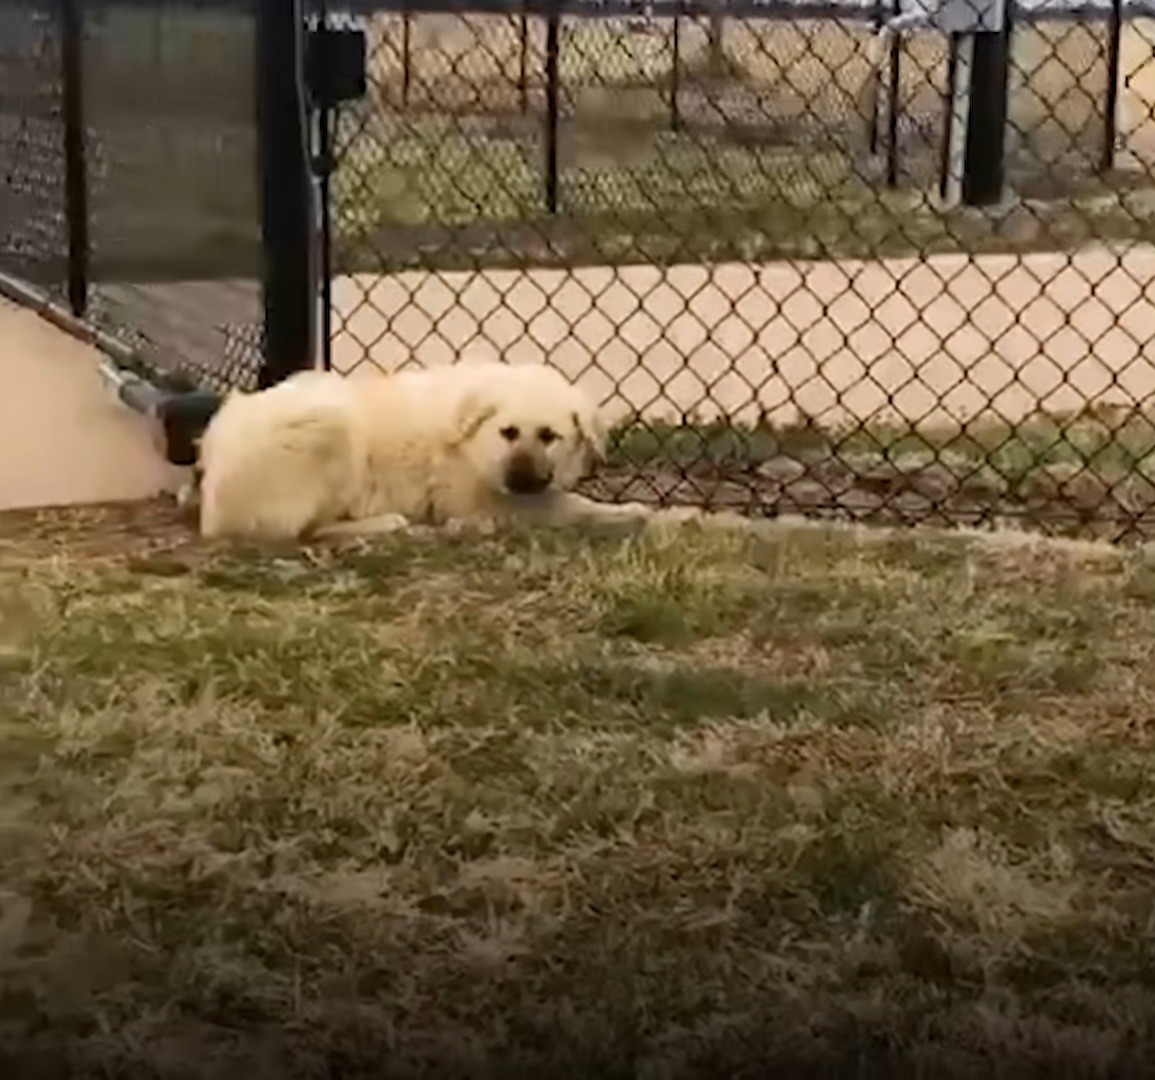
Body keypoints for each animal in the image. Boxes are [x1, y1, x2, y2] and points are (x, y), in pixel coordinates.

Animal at [188, 362, 660, 545]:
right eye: (508, 433)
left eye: (549, 436)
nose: (521, 479)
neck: (473, 443)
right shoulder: (483, 499)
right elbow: (572, 506)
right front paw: (634, 512)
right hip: (331, 423)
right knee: (308, 531)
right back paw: (396, 526)